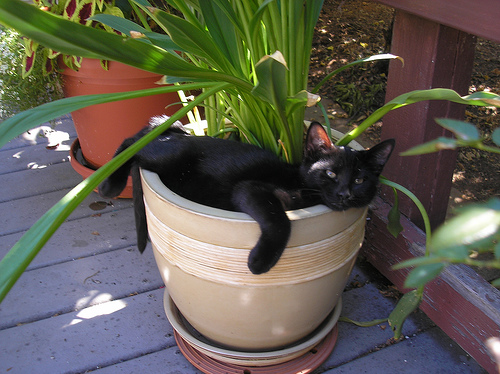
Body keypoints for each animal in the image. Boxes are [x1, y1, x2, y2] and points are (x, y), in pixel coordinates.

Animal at [98, 117, 394, 274]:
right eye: (331, 173)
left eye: (359, 180)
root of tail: (174, 129)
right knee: (131, 143)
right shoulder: (249, 189)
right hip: (169, 157)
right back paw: (109, 184)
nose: (344, 193)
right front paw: (261, 262)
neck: (302, 186)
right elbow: (280, 221)